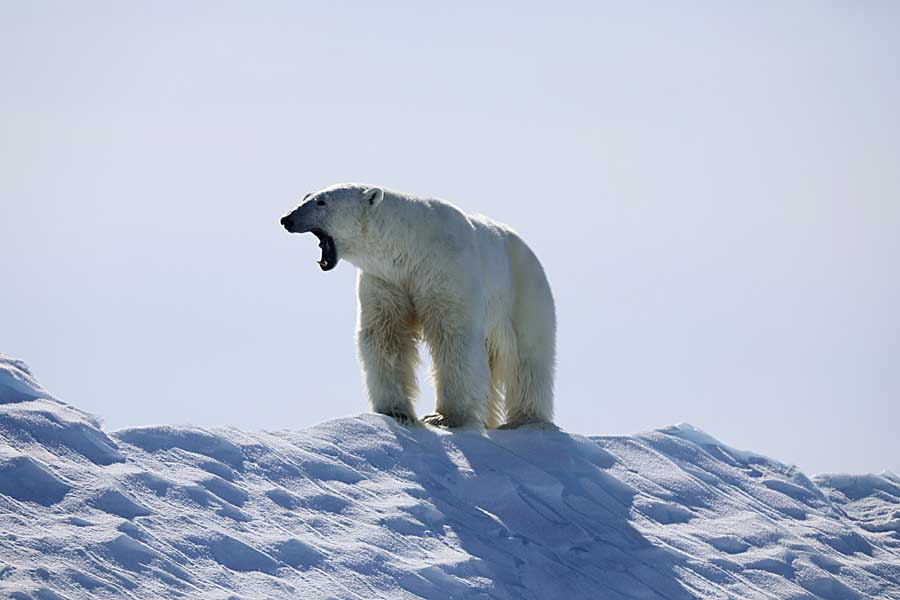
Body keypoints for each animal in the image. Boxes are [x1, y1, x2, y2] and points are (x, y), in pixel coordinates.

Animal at [282, 185, 556, 428]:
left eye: (322, 202)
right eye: (306, 197)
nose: (287, 219)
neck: (410, 246)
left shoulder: (444, 269)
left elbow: (453, 335)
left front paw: (445, 417)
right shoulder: (387, 279)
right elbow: (386, 335)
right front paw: (397, 411)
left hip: (523, 289)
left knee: (528, 356)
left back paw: (526, 419)